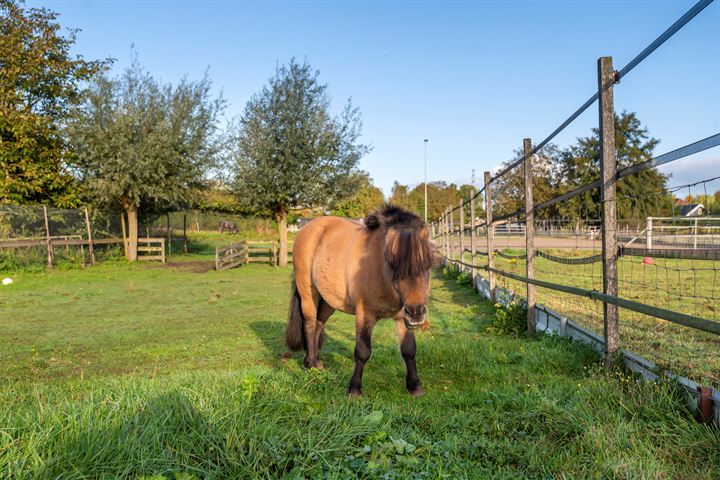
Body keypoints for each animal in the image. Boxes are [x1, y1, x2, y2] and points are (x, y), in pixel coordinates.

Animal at [286, 204, 434, 396]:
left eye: (427, 264)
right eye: (393, 263)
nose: (416, 313)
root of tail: (308, 228)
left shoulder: (402, 317)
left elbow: (408, 349)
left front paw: (414, 386)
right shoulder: (364, 313)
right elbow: (362, 351)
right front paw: (354, 388)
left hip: (328, 301)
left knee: (319, 324)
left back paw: (316, 362)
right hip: (308, 293)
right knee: (310, 325)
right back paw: (310, 364)